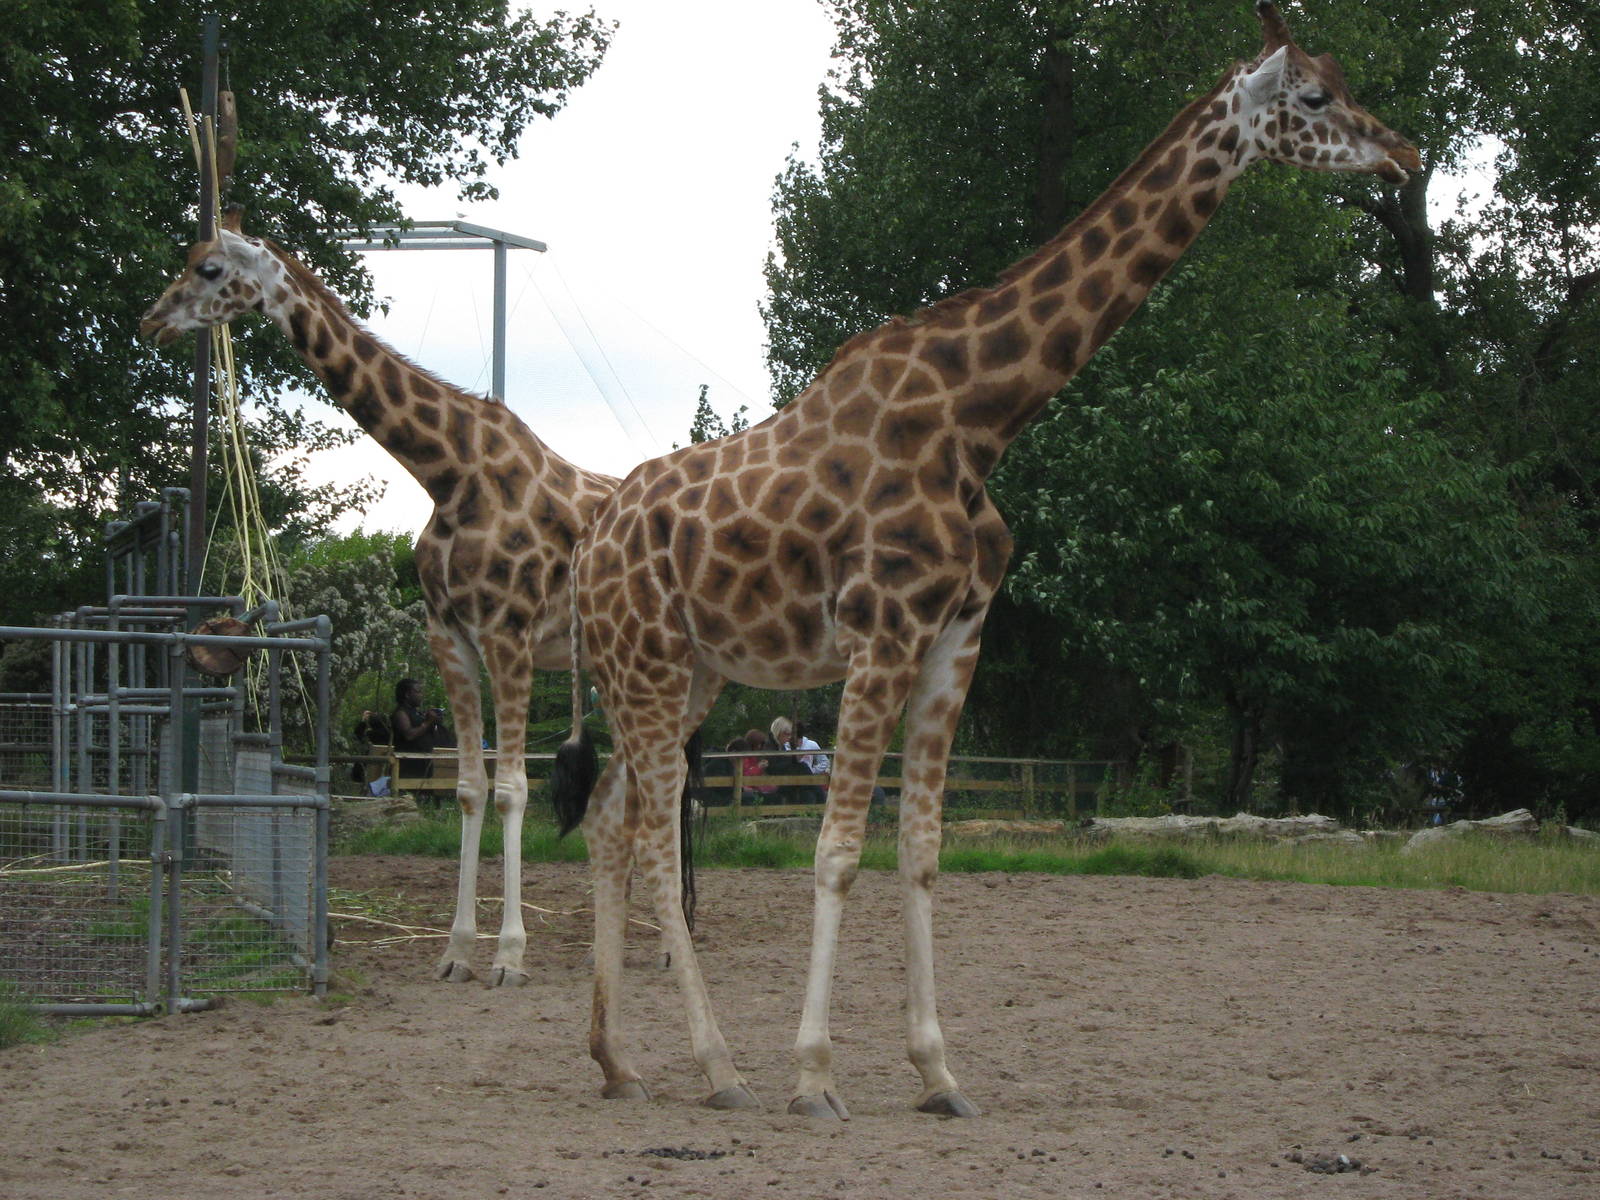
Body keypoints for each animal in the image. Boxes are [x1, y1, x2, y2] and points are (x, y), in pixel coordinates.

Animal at [141, 209, 630, 987]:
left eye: (210, 269)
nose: (151, 321)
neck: (448, 472)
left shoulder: (509, 634)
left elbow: (513, 788)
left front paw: (510, 956)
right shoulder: (448, 635)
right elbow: (468, 789)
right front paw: (456, 951)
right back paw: (623, 944)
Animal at [553, 2, 1419, 1116]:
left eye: (1347, 81)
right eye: (1312, 96)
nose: (1403, 154)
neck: (982, 419)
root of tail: (586, 547)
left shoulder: (957, 636)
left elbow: (922, 852)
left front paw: (937, 1071)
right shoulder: (883, 633)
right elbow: (836, 852)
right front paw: (814, 1074)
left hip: (682, 671)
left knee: (611, 819)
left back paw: (617, 1058)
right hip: (650, 664)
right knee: (657, 837)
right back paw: (720, 1068)